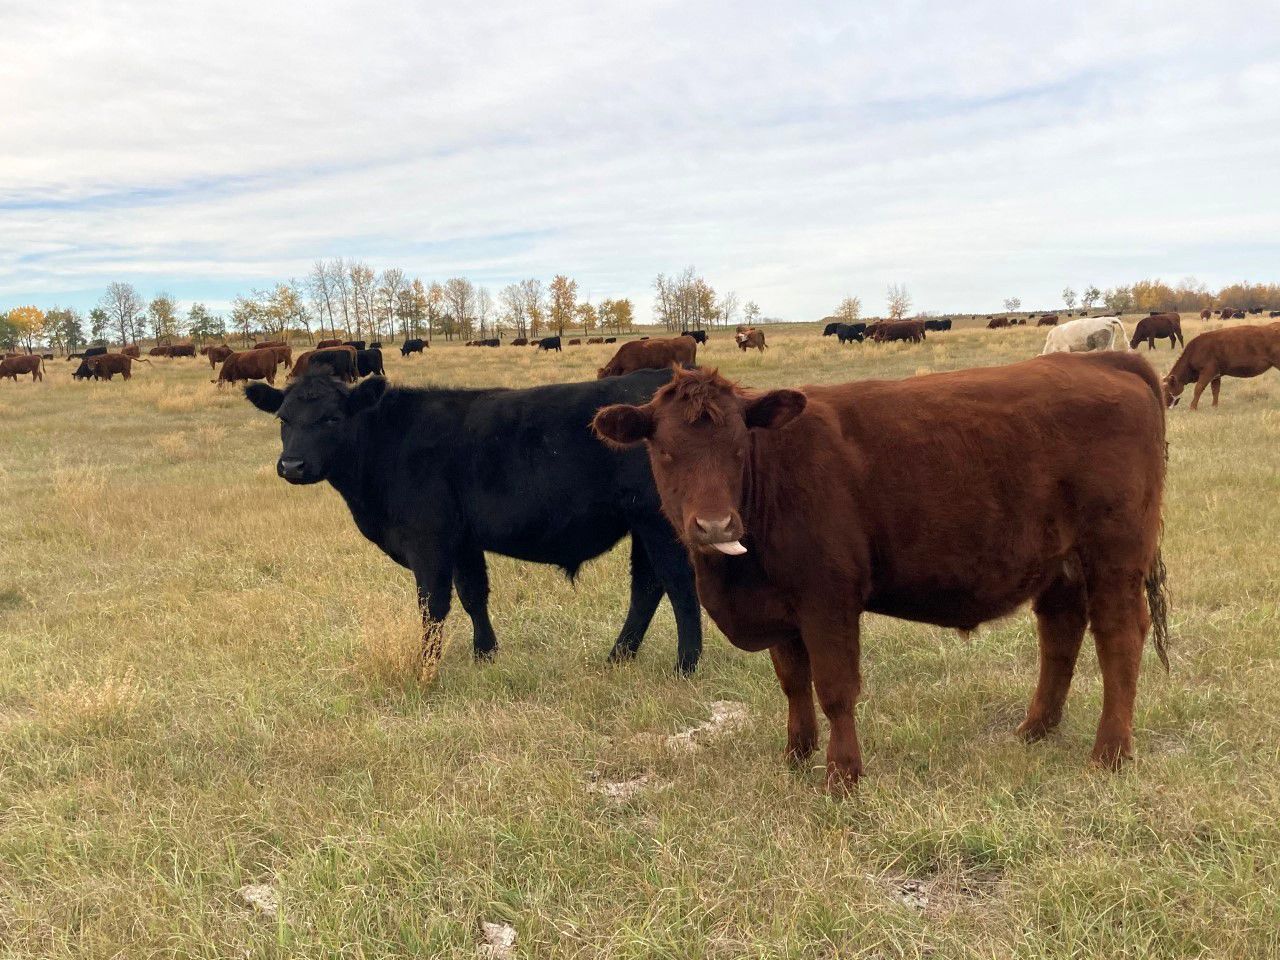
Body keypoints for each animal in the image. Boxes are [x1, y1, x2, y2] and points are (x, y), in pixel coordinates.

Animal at [244, 369, 703, 674]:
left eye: (331, 418)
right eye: (283, 418)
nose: (292, 465)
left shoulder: (427, 539)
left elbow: (432, 606)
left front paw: (427, 668)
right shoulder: (463, 540)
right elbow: (473, 595)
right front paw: (486, 654)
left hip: (657, 521)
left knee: (678, 584)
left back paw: (686, 665)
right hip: (642, 524)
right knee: (647, 587)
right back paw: (618, 658)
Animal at [591, 357, 1170, 788]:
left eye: (738, 446)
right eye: (665, 451)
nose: (714, 525)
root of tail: (1101, 360)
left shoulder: (828, 597)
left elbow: (835, 688)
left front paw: (842, 775)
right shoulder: (782, 605)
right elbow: (793, 683)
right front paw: (795, 757)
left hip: (1114, 556)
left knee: (1119, 639)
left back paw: (1109, 754)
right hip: (1060, 565)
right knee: (1060, 637)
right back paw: (1034, 730)